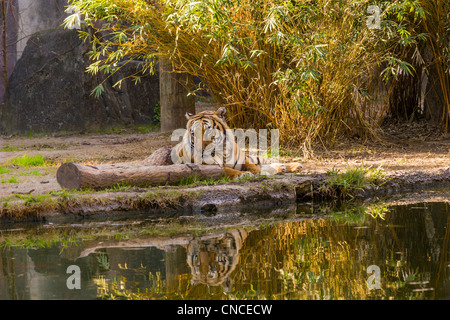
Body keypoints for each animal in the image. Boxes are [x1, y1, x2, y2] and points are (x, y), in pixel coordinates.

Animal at [146, 107, 302, 180]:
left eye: (208, 132)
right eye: (193, 133)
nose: (200, 151)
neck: (223, 151)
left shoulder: (242, 159)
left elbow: (252, 166)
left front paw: (254, 171)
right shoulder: (206, 167)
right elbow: (225, 170)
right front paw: (243, 174)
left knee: (265, 160)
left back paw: (292, 166)